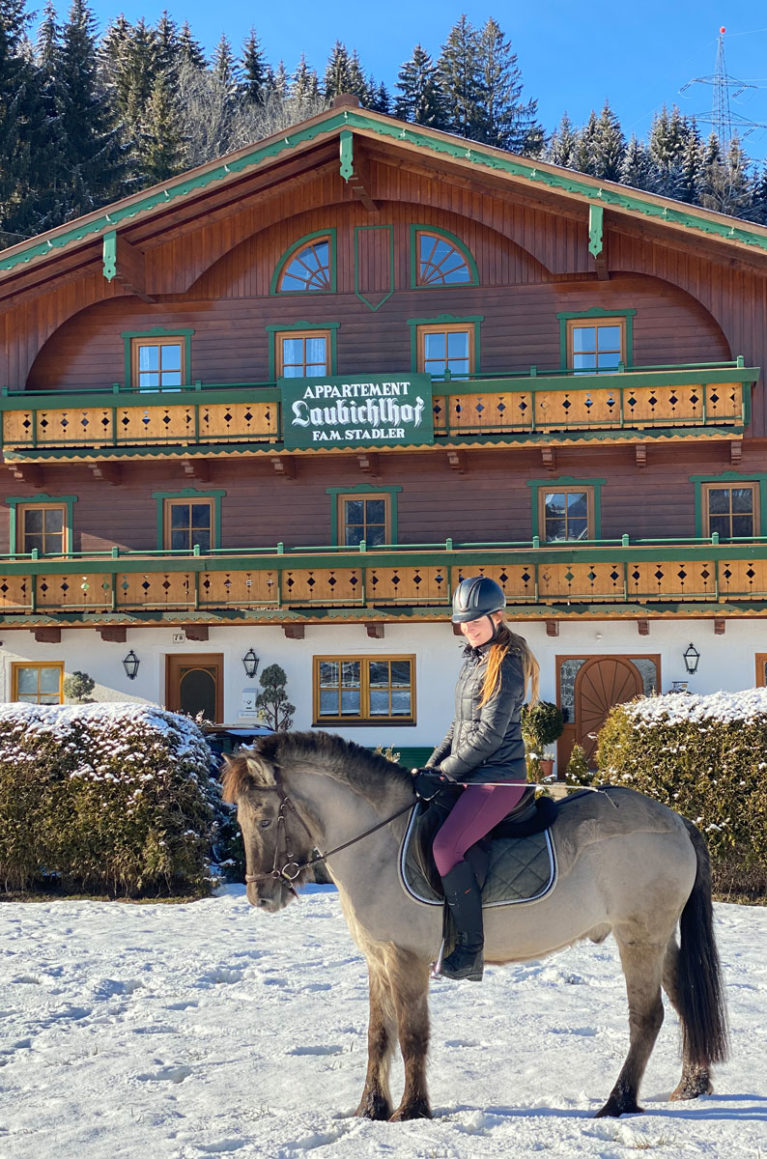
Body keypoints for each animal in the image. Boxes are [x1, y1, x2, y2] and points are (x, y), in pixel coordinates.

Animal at [218, 732, 732, 1121]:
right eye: (241, 819)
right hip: (658, 938)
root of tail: (675, 819)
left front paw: (411, 1111)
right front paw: (369, 1110)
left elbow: (412, 1035)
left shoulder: (406, 960)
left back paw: (618, 1101)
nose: (261, 897)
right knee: (685, 998)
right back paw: (692, 1085)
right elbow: (378, 1036)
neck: (379, 842)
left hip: (638, 937)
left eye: (265, 819)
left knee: (648, 1016)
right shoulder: (378, 960)